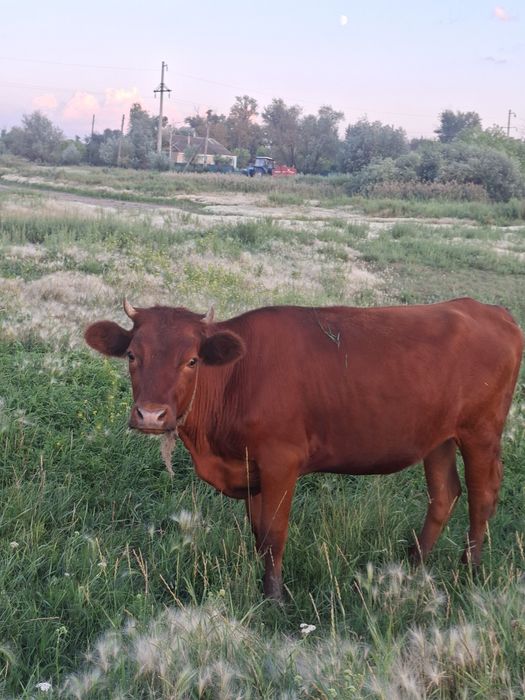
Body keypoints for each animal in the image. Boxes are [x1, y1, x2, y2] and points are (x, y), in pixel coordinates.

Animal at [85, 298, 523, 600]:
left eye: (191, 360)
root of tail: (486, 309)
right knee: (445, 494)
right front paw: (259, 579)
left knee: (482, 496)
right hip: (439, 438)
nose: (151, 415)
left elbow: (275, 532)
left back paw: (469, 571)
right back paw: (414, 564)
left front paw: (274, 597)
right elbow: (258, 531)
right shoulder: (251, 466)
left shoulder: (281, 460)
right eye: (132, 355)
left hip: (480, 432)